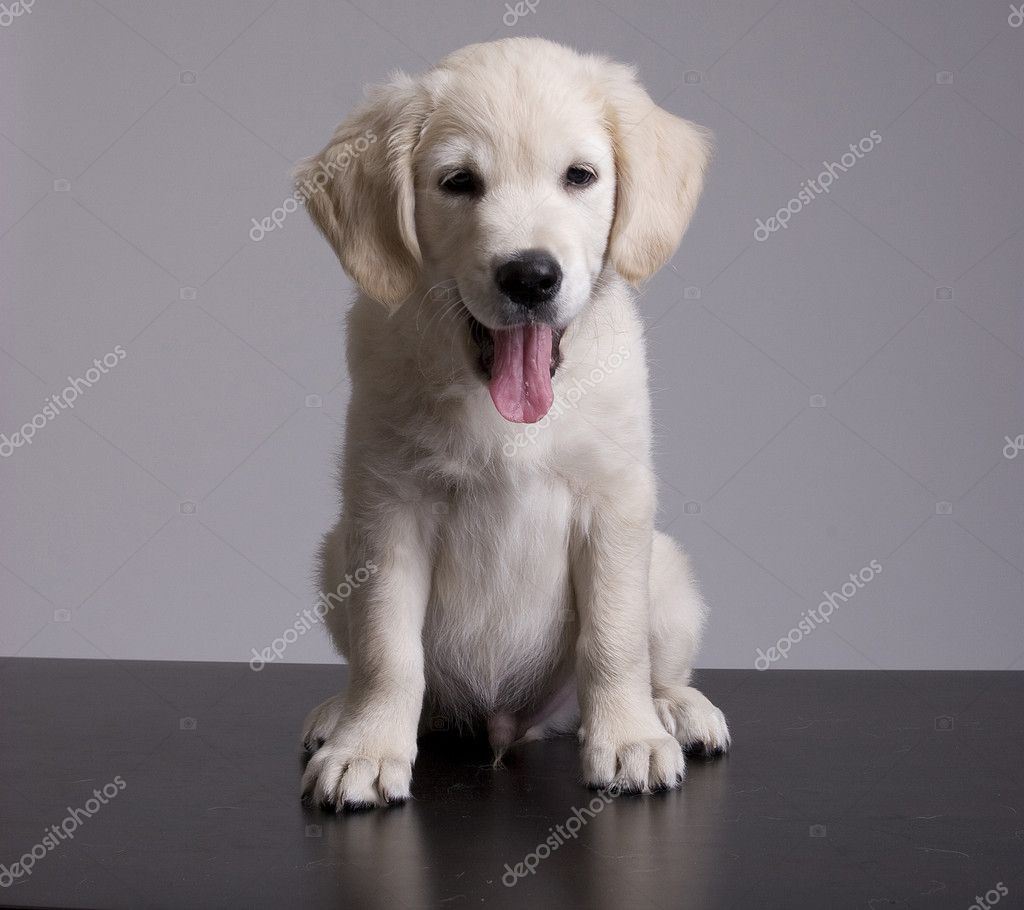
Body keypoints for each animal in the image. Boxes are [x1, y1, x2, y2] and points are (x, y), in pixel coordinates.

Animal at [296, 37, 729, 810]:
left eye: (580, 176)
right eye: (459, 182)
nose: (530, 276)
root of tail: (509, 724)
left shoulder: (615, 502)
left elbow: (614, 639)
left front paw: (629, 738)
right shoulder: (386, 508)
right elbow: (387, 649)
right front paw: (367, 747)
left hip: (670, 573)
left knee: (658, 662)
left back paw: (676, 709)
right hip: (333, 554)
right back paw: (340, 713)